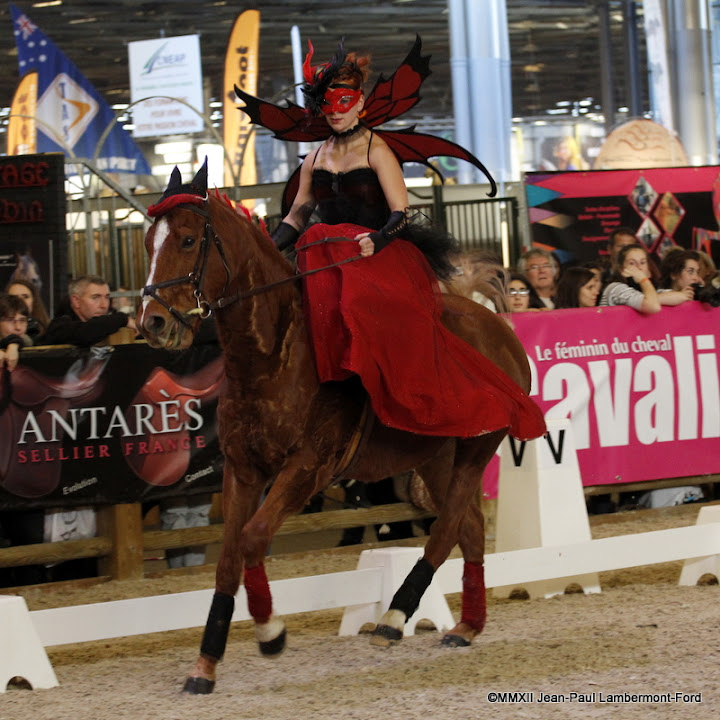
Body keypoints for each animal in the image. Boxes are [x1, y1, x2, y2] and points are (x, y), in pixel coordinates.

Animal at [139, 166, 536, 696]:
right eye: (148, 243)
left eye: (186, 240)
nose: (153, 323)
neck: (274, 357)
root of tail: (494, 326)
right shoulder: (243, 471)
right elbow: (227, 558)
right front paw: (205, 665)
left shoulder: (307, 468)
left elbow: (253, 537)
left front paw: (271, 632)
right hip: (436, 459)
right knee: (468, 528)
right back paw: (467, 626)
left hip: (477, 449)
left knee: (447, 528)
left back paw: (393, 619)